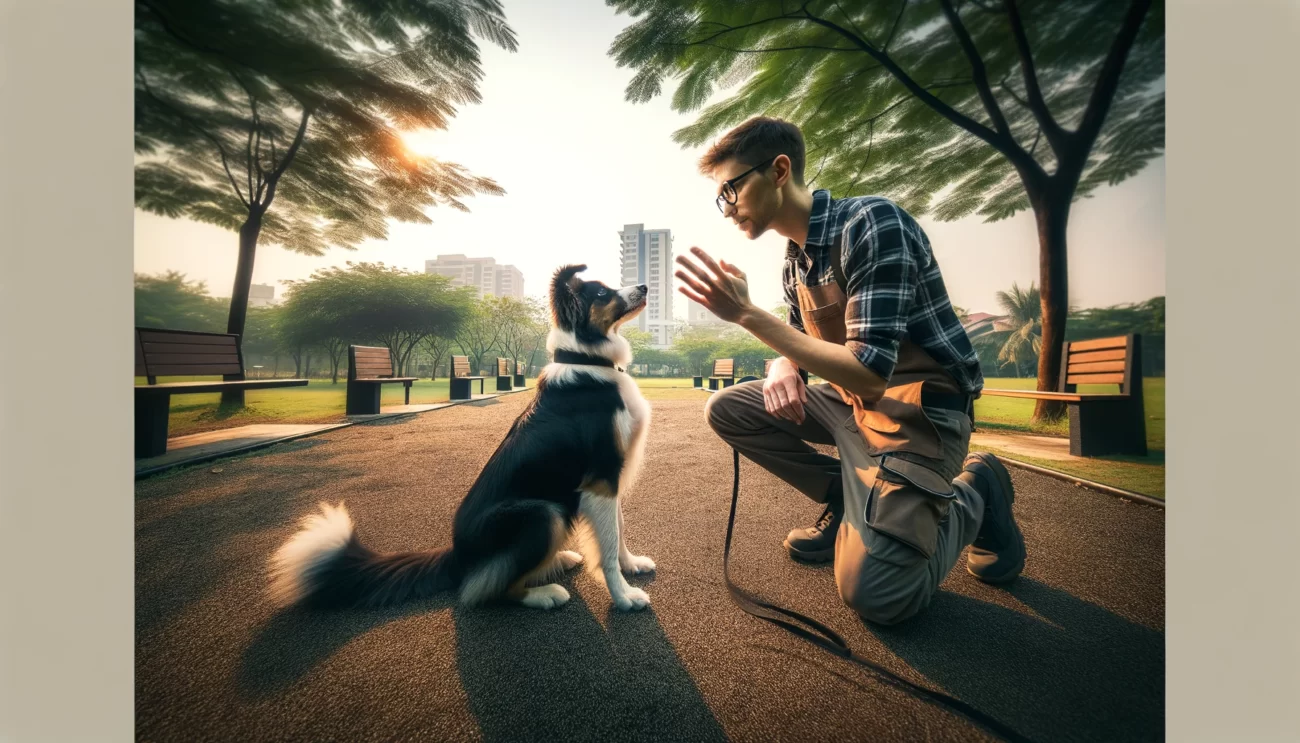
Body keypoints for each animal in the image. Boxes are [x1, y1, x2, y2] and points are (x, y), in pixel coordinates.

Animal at [263, 263, 655, 613]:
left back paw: (558, 559)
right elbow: (606, 547)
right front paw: (624, 597)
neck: (588, 360)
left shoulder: (612, 476)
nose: (645, 286)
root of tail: (456, 555)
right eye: (602, 293)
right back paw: (543, 594)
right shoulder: (600, 476)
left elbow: (618, 530)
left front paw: (631, 564)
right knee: (488, 589)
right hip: (543, 512)